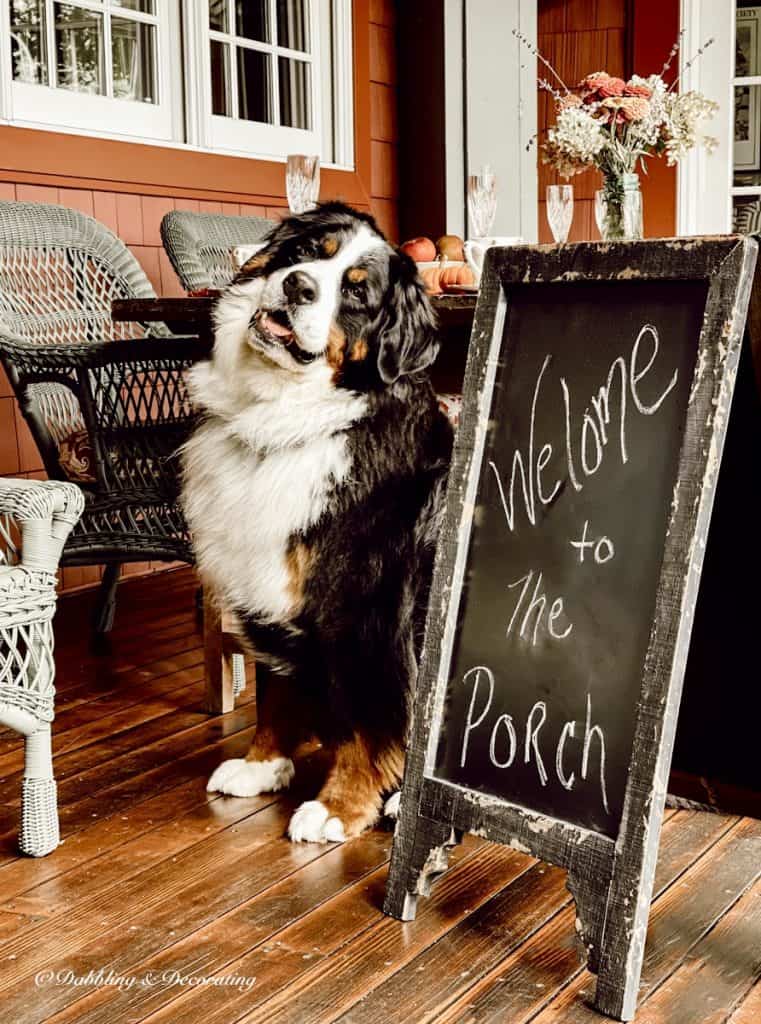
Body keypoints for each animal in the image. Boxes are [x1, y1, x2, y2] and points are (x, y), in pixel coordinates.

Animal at [181, 199, 452, 839]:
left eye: (355, 293)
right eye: (308, 252)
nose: (298, 286)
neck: (283, 422)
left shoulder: (364, 609)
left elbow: (366, 720)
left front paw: (339, 806)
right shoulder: (266, 583)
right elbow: (274, 694)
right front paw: (261, 765)